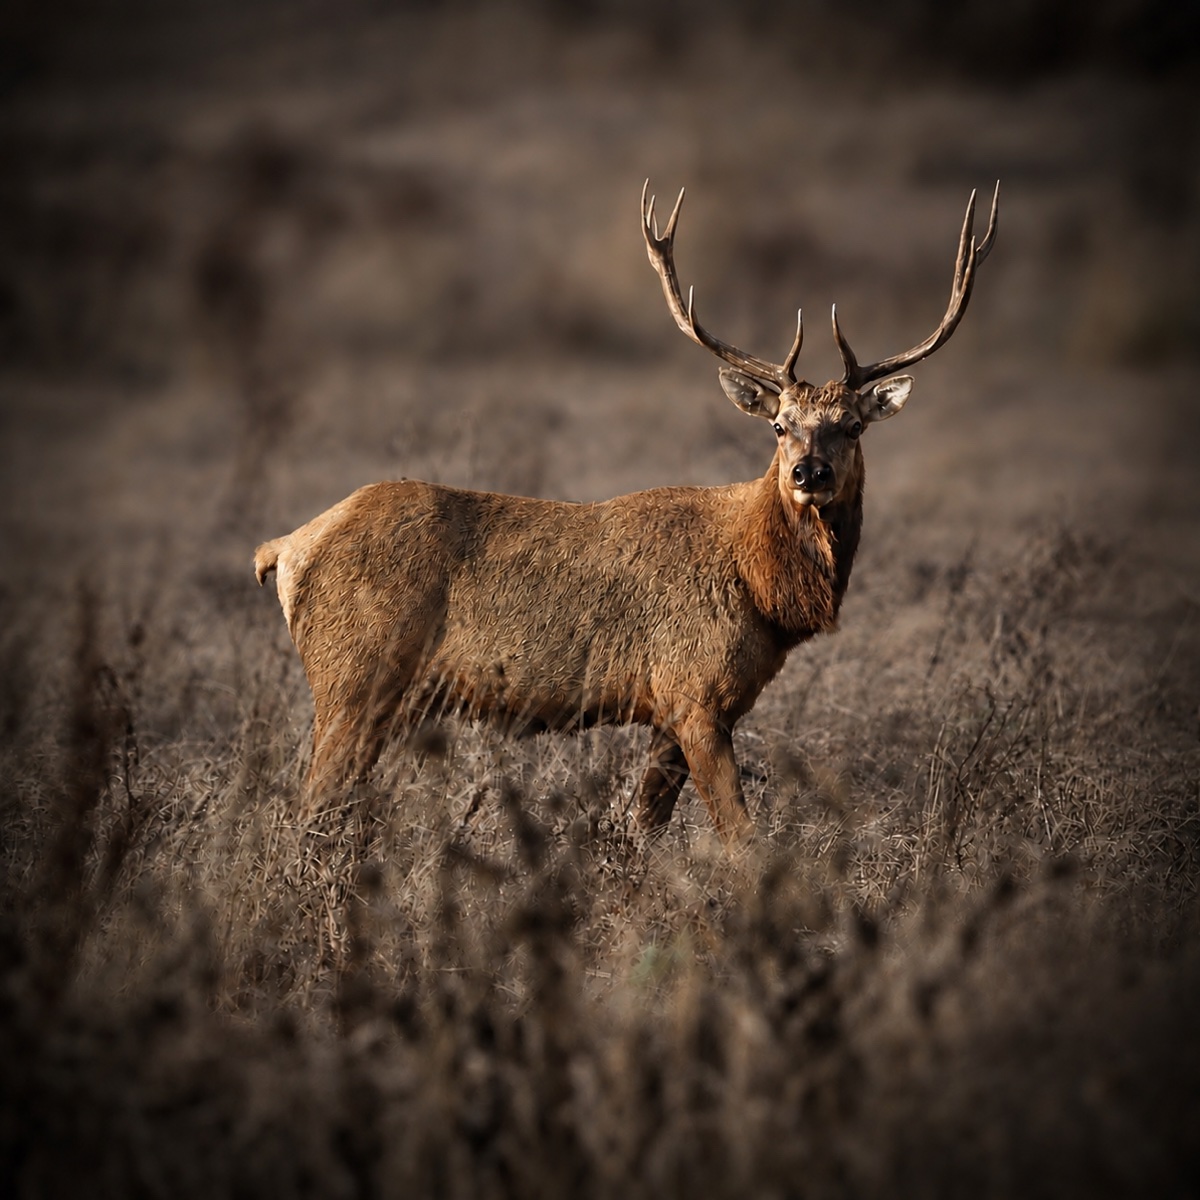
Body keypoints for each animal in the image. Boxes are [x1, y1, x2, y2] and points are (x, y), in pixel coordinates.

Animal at [255, 180, 998, 843]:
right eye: (780, 424)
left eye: (852, 426)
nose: (807, 473)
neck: (763, 589)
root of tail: (284, 549)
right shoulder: (693, 690)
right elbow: (742, 841)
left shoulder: (677, 712)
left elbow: (642, 831)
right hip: (354, 675)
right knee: (308, 811)